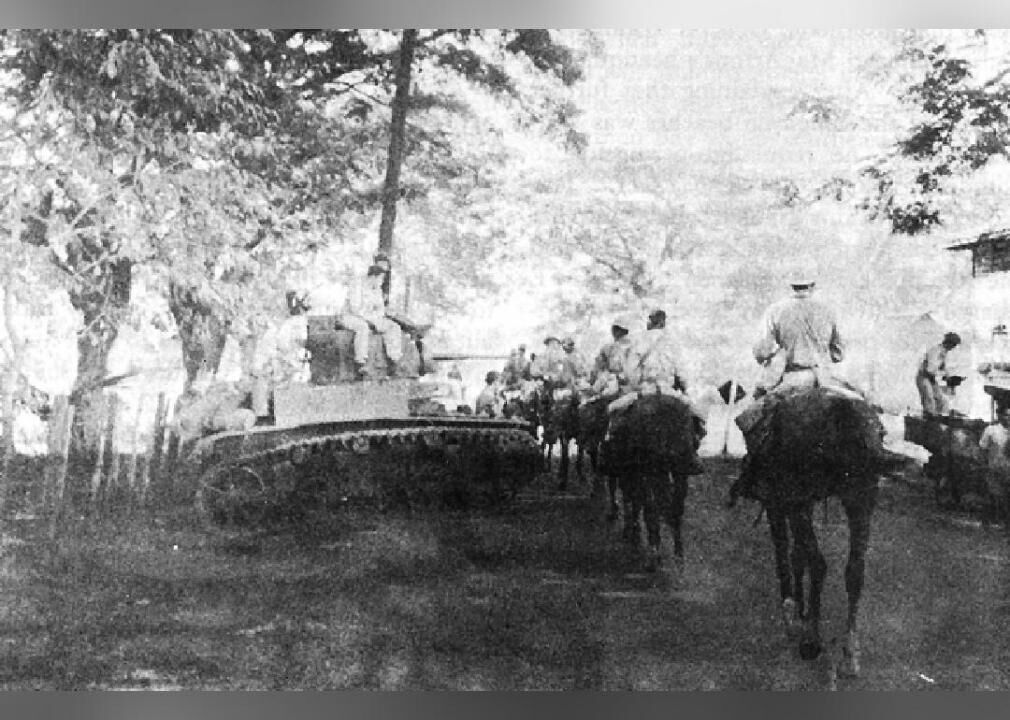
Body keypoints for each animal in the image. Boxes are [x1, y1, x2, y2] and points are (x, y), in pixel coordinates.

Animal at [593, 389, 698, 569]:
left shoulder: (632, 476)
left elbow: (633, 501)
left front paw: (631, 532)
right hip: (678, 474)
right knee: (675, 508)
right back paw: (677, 553)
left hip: (648, 475)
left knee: (651, 507)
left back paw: (654, 554)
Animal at [743, 385, 892, 678]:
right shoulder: (803, 502)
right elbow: (798, 554)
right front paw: (799, 610)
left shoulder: (781, 501)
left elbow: (786, 552)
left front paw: (793, 612)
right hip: (860, 498)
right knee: (854, 571)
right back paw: (848, 653)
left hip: (800, 501)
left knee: (817, 562)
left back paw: (811, 638)